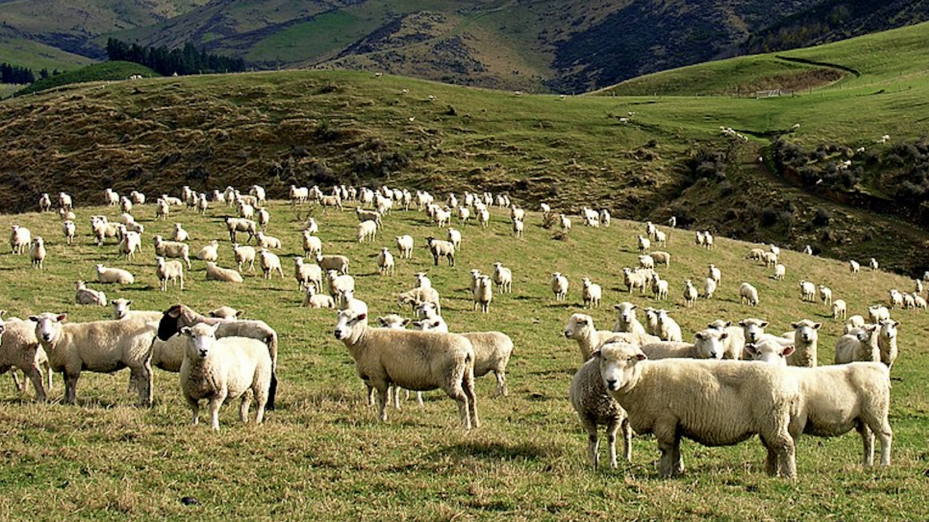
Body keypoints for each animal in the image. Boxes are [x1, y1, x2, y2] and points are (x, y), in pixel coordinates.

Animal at [334, 302, 478, 428]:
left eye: (352, 320)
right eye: (338, 318)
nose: (337, 332)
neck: (363, 339)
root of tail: (466, 350)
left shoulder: (379, 376)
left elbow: (383, 399)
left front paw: (382, 417)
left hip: (451, 376)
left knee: (462, 398)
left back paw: (466, 425)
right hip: (466, 375)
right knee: (472, 397)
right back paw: (475, 423)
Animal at [600, 340, 800, 478]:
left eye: (628, 359)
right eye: (604, 359)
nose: (611, 381)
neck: (644, 380)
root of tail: (789, 385)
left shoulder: (665, 419)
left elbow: (666, 448)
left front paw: (664, 473)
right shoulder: (676, 421)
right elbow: (676, 447)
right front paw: (677, 469)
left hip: (773, 420)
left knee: (786, 445)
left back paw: (789, 476)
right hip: (769, 423)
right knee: (773, 448)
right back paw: (772, 472)